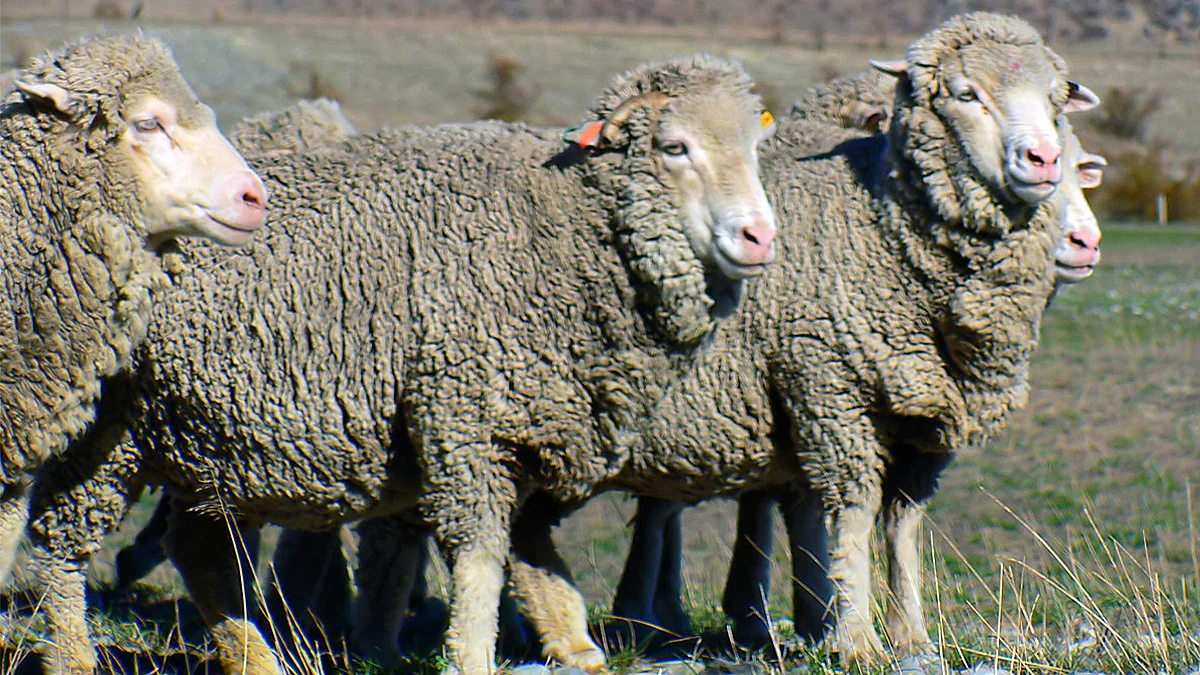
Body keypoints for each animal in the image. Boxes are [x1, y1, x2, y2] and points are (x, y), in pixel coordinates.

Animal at [28, 53, 782, 672]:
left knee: (200, 549)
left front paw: (574, 645)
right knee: (60, 545)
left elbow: (537, 559)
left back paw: (256, 658)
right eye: (674, 146)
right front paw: (472, 655)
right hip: (106, 431)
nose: (759, 237)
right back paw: (72, 655)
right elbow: (481, 560)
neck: (560, 228)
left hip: (208, 437)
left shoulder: (535, 425)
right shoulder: (464, 417)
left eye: (753, 148)